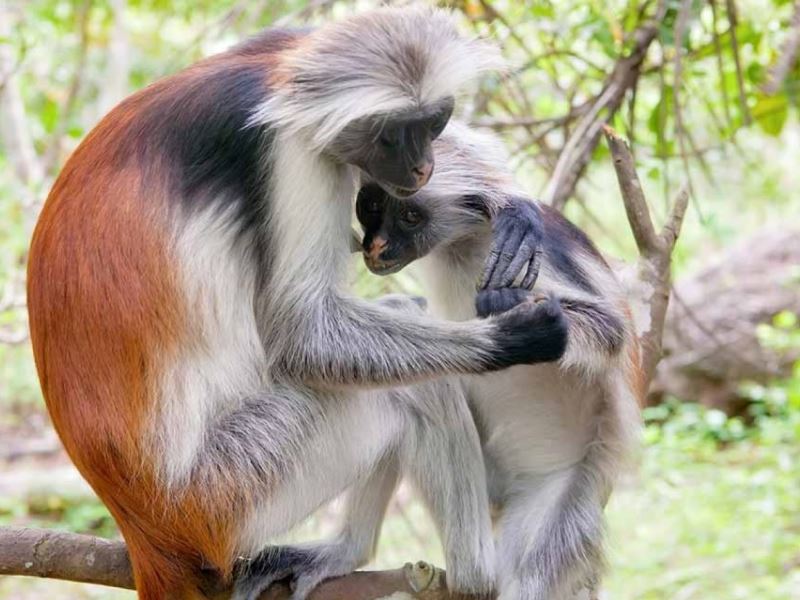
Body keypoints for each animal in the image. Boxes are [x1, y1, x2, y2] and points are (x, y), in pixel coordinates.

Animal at [26, 9, 569, 600]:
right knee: (411, 386)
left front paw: (503, 195)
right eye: (393, 135)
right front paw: (513, 337)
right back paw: (474, 576)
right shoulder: (290, 151)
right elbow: (301, 335)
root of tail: (143, 527)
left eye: (433, 123)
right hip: (231, 489)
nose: (423, 168)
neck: (275, 84)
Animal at [355, 121, 643, 600]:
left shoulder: (535, 256)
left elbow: (612, 332)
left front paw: (513, 305)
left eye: (410, 217)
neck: (464, 242)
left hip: (558, 495)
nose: (375, 247)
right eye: (373, 205)